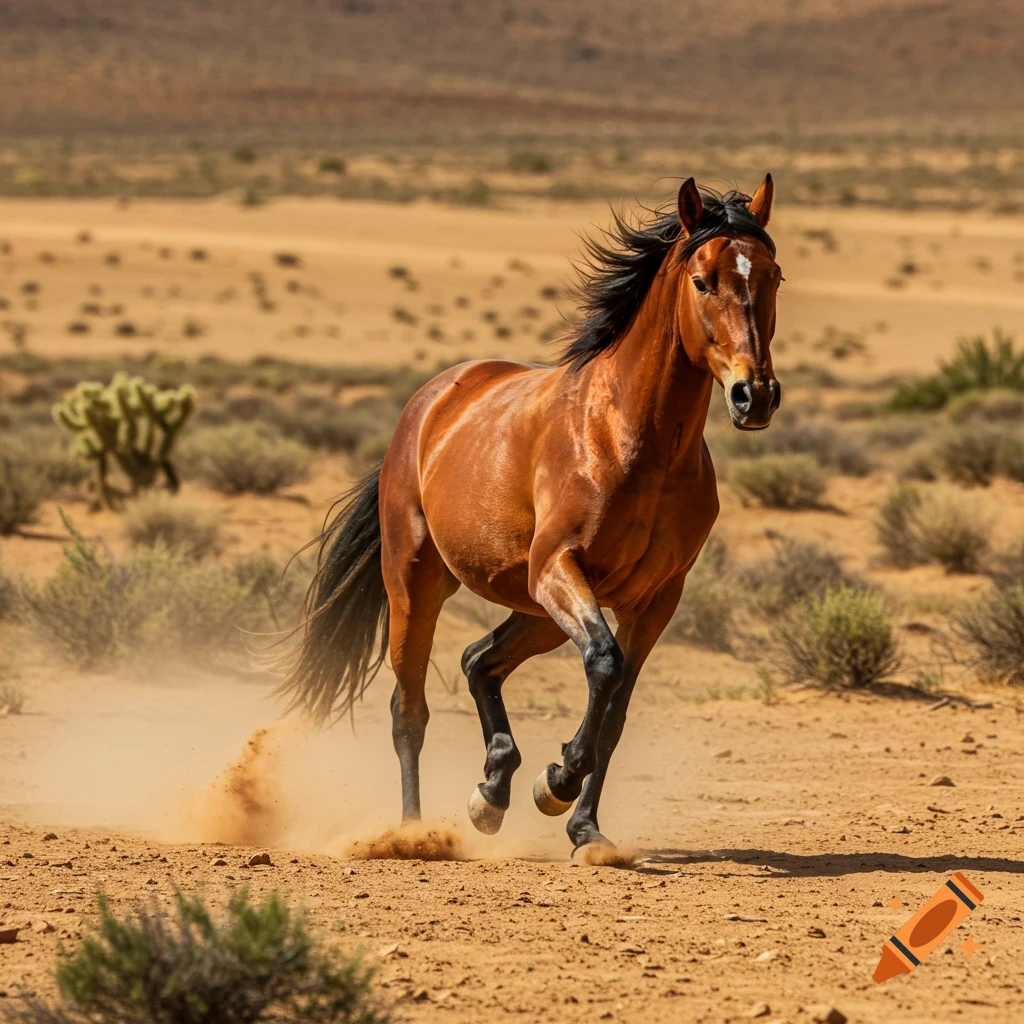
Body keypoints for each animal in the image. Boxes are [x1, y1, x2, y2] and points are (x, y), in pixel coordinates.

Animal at [279, 176, 782, 857]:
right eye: (703, 281)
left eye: (773, 277)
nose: (755, 396)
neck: (632, 440)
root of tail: (431, 401)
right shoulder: (560, 568)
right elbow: (604, 665)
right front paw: (558, 782)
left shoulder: (655, 598)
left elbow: (615, 708)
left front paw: (584, 829)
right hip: (421, 583)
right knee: (409, 709)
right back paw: (413, 831)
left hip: (536, 612)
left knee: (478, 660)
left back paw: (493, 790)